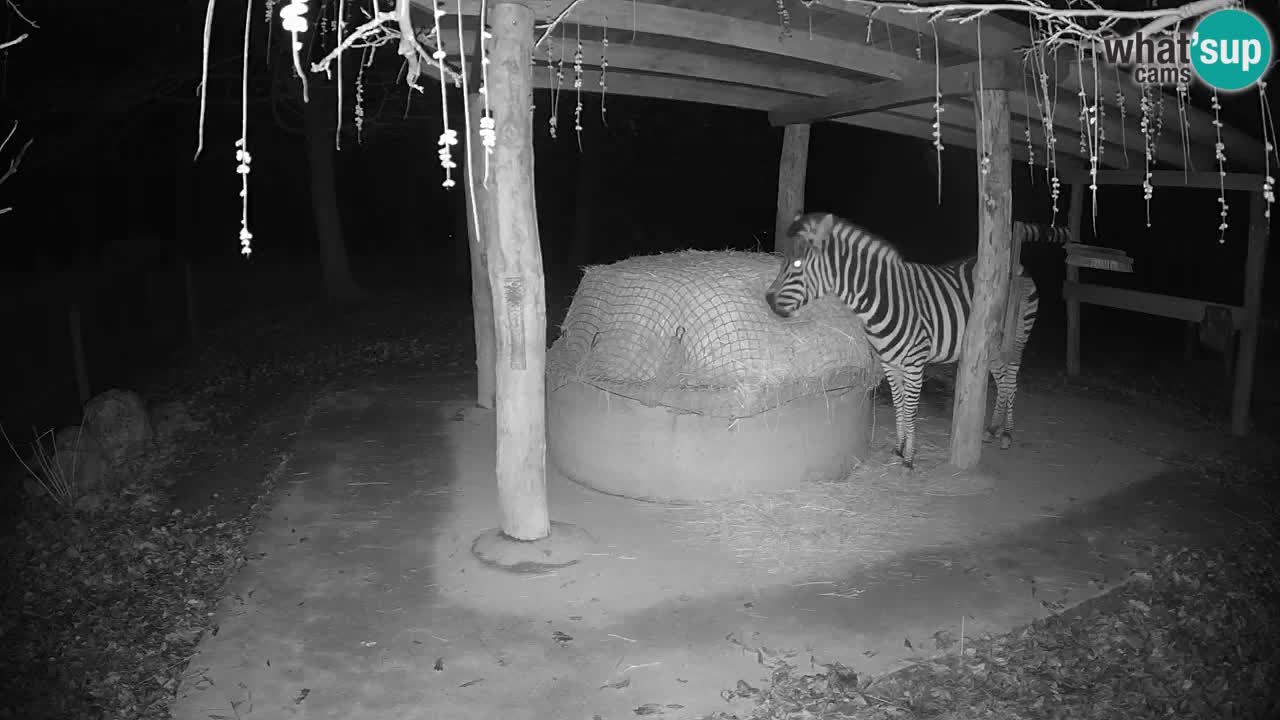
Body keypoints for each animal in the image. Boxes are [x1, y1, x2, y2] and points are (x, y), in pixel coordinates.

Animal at [762, 210, 1064, 468]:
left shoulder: (915, 362)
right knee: (1001, 380)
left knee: (1011, 381)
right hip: (990, 344)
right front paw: (899, 447)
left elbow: (910, 407)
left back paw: (1007, 433)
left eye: (797, 264)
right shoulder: (889, 363)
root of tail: (1017, 264)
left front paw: (909, 457)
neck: (879, 301)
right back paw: (992, 429)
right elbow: (898, 404)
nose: (767, 301)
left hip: (1017, 337)